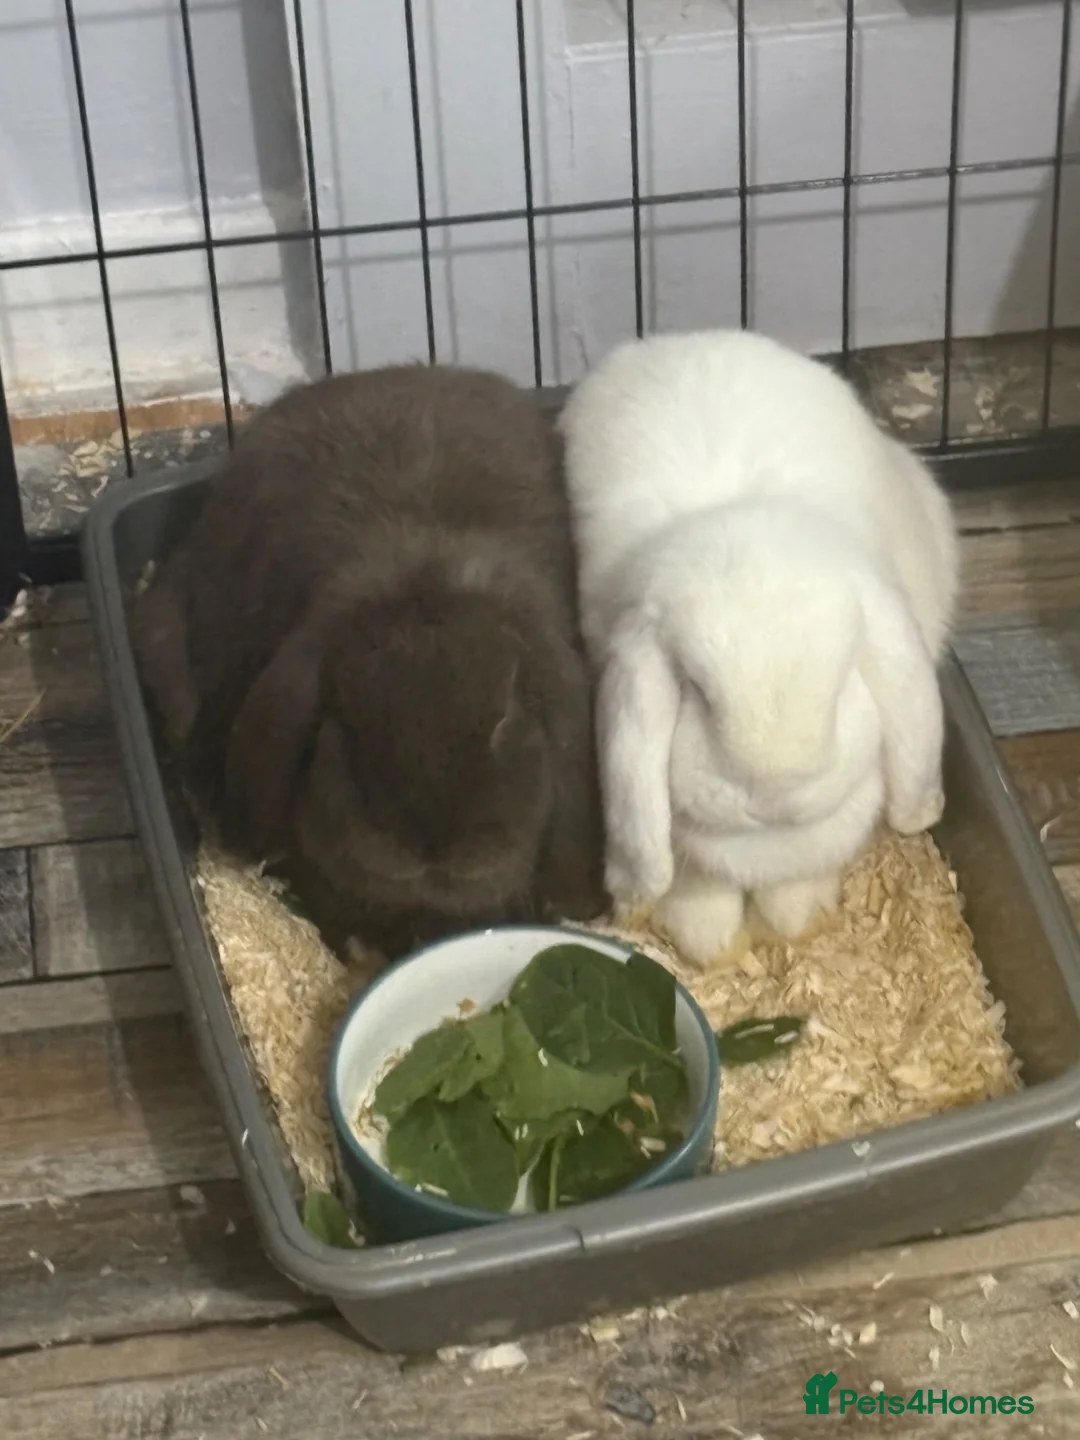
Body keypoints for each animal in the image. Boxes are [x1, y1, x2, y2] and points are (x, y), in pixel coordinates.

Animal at [556, 328, 959, 969]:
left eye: (840, 683)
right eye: (697, 690)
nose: (773, 797)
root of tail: (695, 337)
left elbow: (794, 889)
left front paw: (797, 919)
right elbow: (696, 890)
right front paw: (713, 943)